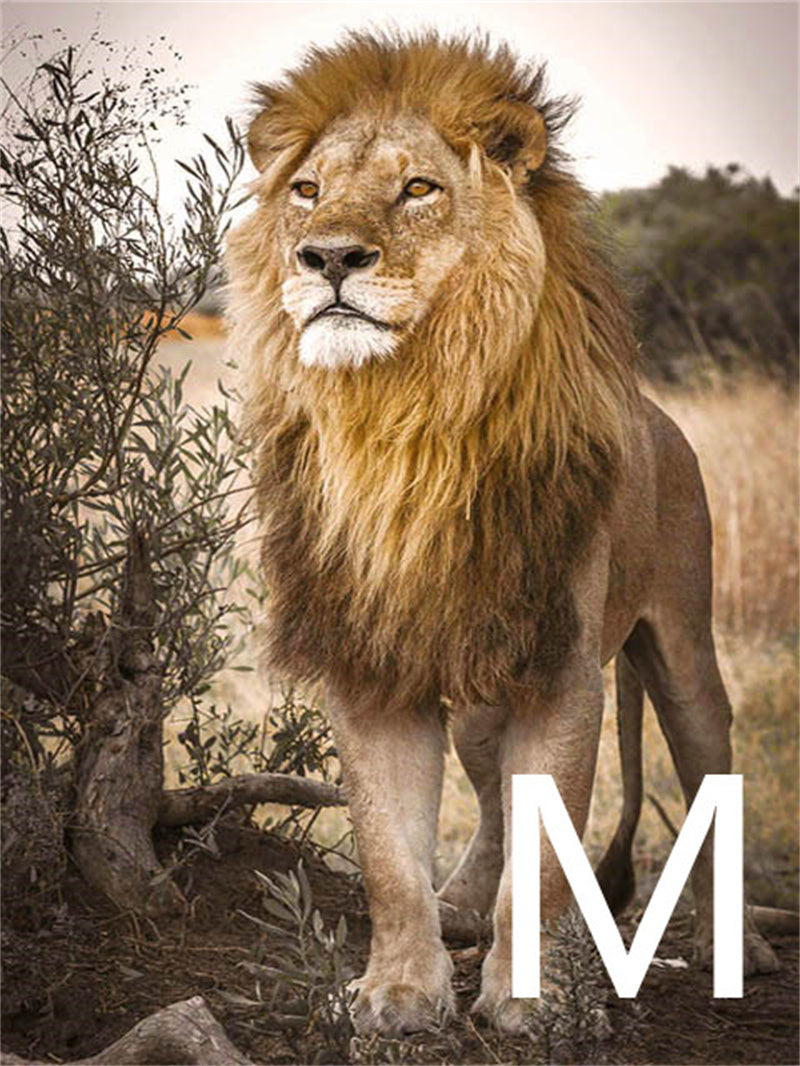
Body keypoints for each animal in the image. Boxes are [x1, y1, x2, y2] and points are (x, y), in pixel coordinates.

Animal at [226, 31, 780, 1035]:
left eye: (418, 188)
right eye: (308, 190)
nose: (328, 257)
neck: (404, 422)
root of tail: (661, 416)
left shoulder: (562, 675)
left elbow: (549, 854)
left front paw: (529, 1003)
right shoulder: (373, 663)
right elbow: (387, 854)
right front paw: (399, 991)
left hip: (682, 650)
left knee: (708, 778)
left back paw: (739, 947)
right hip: (488, 689)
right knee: (489, 802)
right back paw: (458, 905)